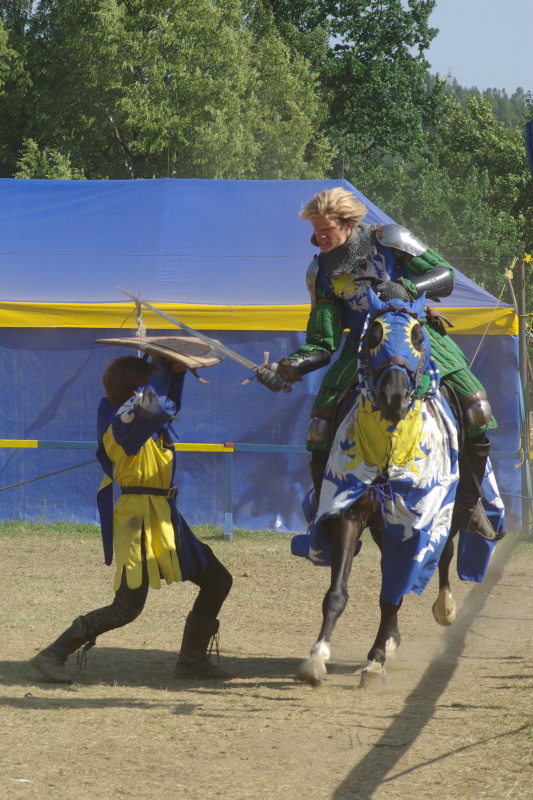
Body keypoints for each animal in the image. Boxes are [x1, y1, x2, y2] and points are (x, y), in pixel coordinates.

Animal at [292, 284, 502, 688]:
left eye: (419, 337)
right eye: (372, 335)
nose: (394, 396)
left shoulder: (420, 516)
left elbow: (398, 589)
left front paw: (374, 661)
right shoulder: (351, 511)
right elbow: (338, 591)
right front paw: (317, 657)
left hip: (450, 506)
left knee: (445, 553)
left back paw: (443, 608)